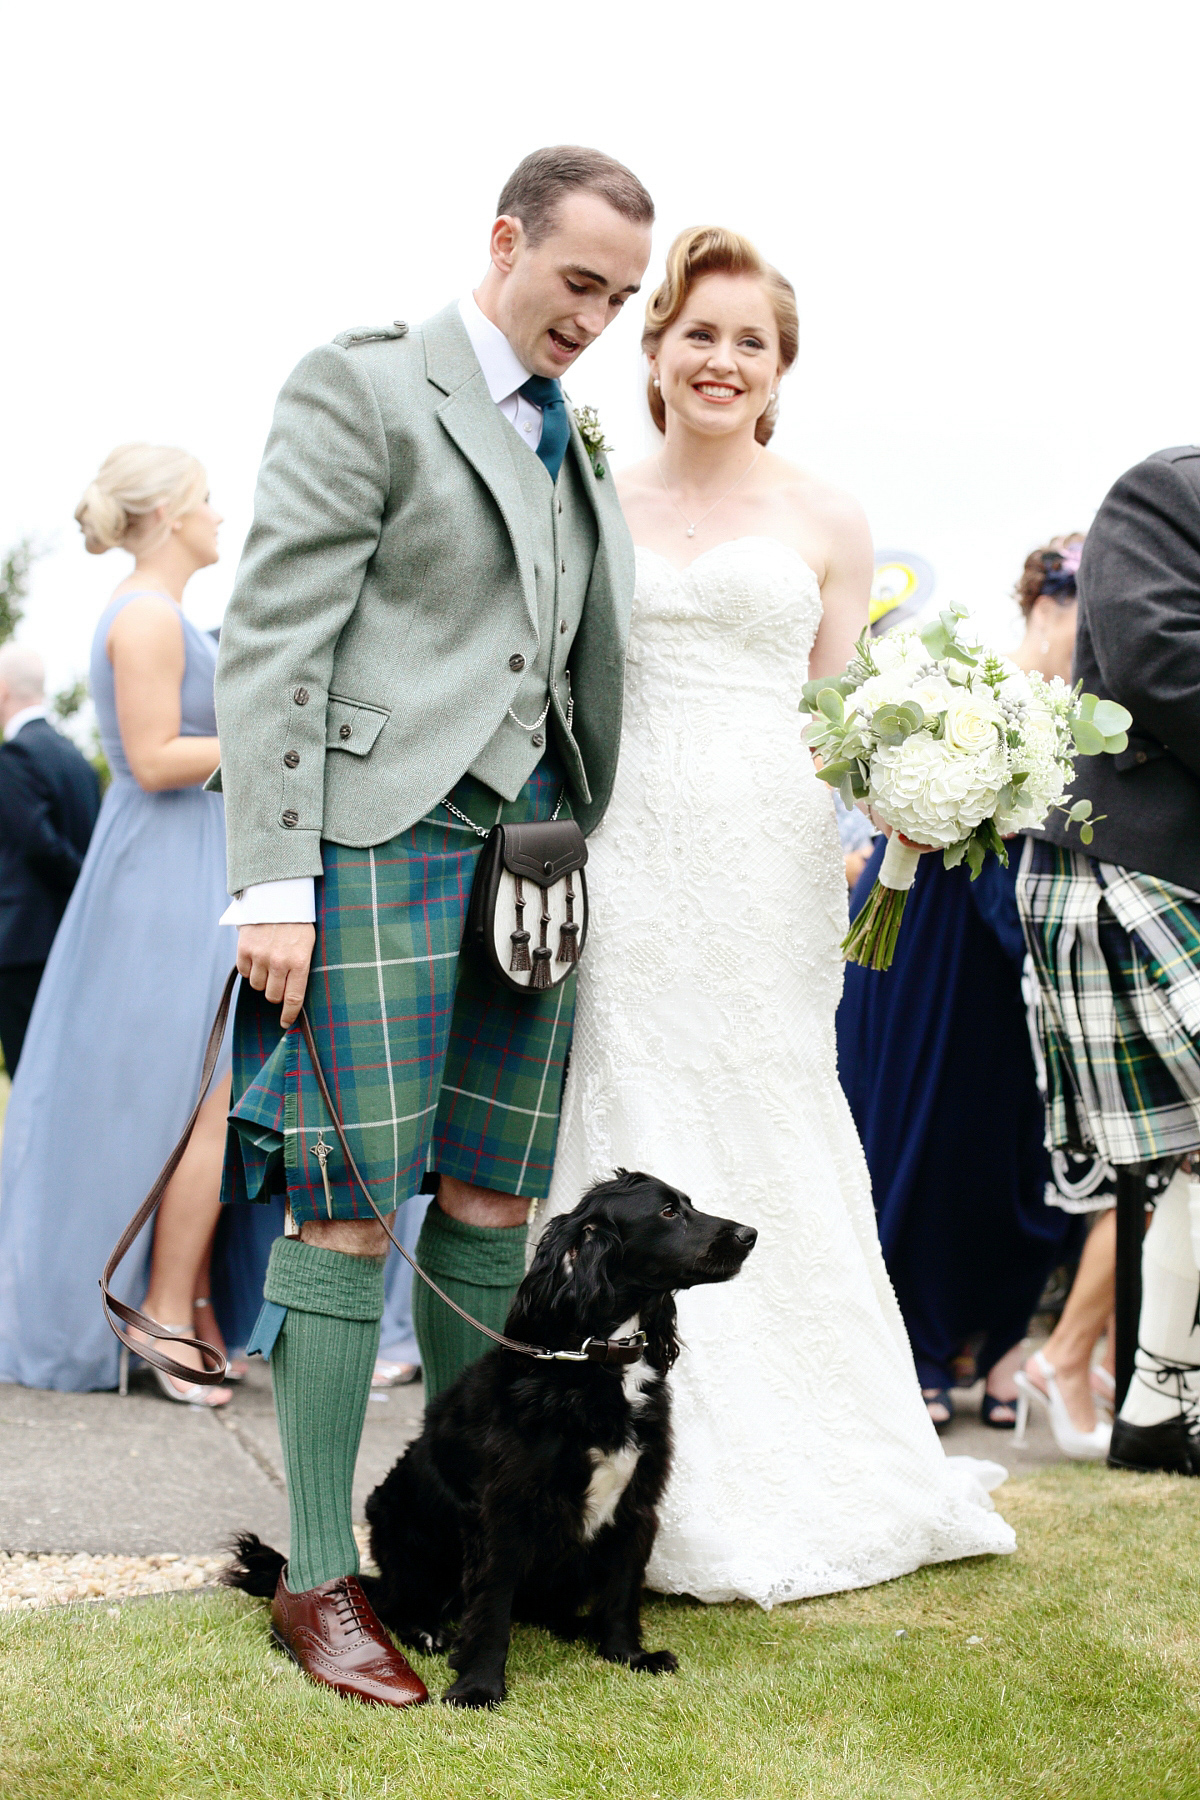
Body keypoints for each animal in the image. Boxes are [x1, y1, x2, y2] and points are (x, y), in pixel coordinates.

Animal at [230, 1173, 755, 1706]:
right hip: (404, 1528)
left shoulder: (637, 1503)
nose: (749, 1234)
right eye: (668, 1213)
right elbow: (491, 1607)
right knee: (399, 1604)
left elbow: (622, 1591)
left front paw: (627, 1655)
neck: (597, 1362)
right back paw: (426, 1630)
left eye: (687, 1204)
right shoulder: (504, 1512)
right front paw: (478, 1686)